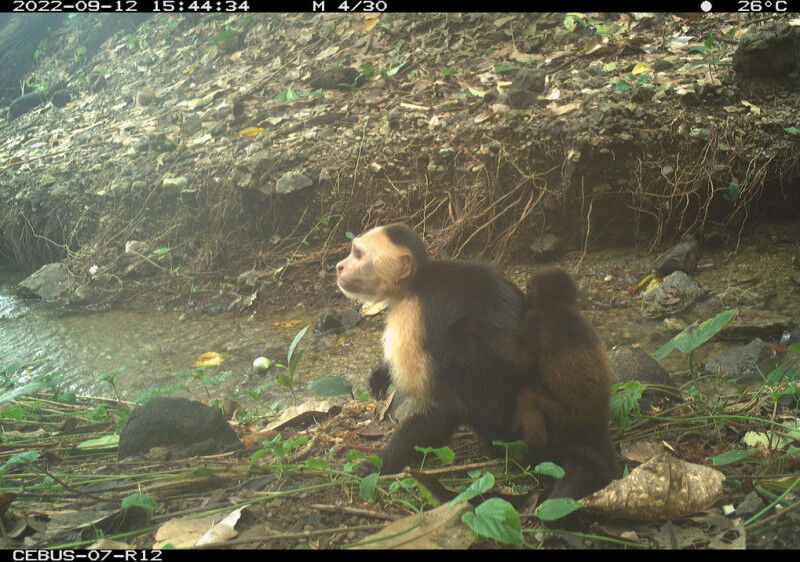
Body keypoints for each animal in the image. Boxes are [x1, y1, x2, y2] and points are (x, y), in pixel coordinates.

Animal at [336, 223, 616, 499]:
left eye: (357, 254)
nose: (339, 266)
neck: (416, 283)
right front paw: (380, 374)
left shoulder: (413, 320)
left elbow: (444, 409)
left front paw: (379, 464)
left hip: (522, 428)